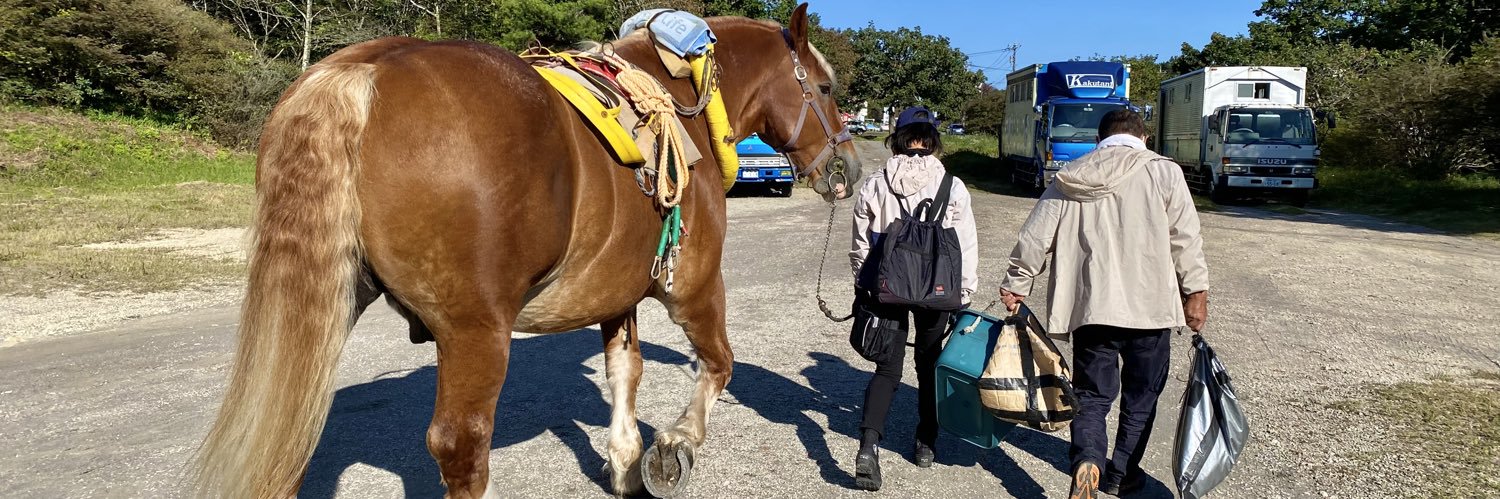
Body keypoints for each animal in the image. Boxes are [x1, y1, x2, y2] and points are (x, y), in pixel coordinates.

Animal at [190, 3, 863, 498]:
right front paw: (675, 444)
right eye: (827, 88)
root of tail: (365, 69)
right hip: (475, 331)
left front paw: (624, 461)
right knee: (461, 445)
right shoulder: (693, 288)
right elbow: (718, 364)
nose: (849, 169)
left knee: (292, 444)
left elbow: (627, 370)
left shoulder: (615, 292)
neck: (682, 100)